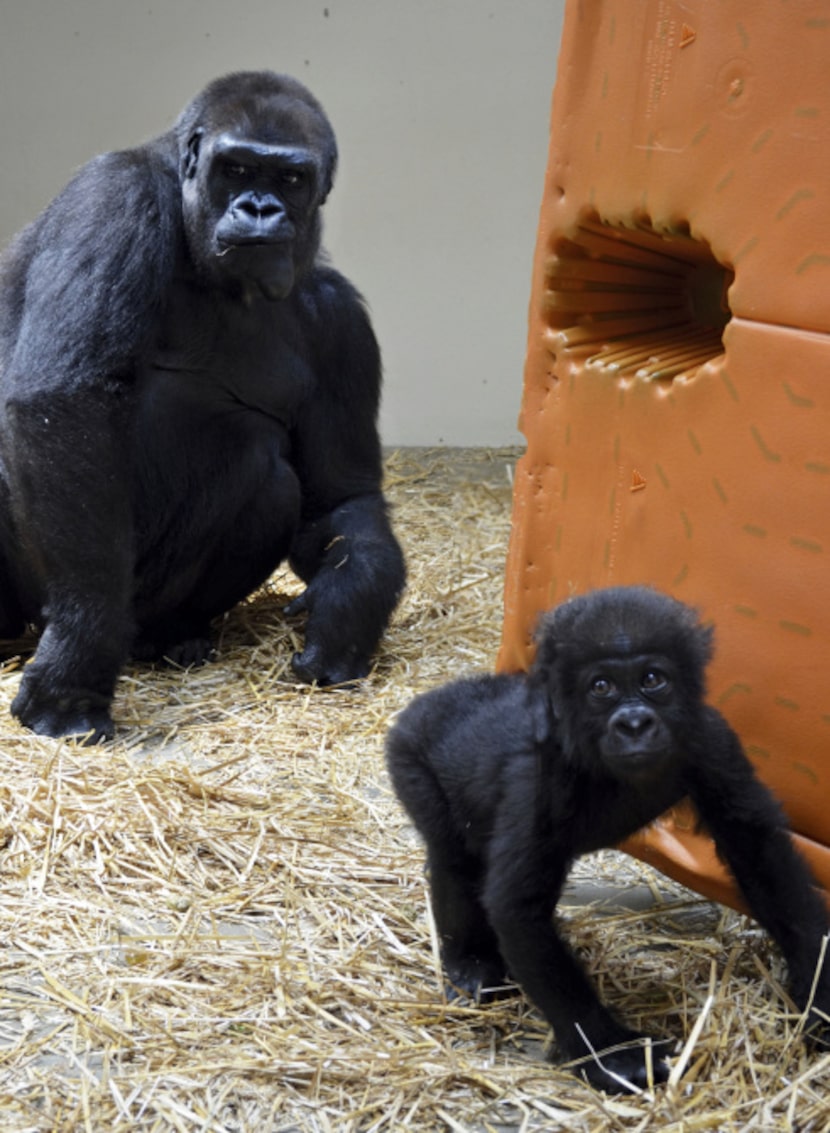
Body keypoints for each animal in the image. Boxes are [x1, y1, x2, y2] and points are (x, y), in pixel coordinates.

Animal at [0, 73, 405, 743]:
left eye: (290, 179)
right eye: (235, 168)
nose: (260, 209)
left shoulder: (339, 321)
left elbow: (340, 498)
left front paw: (351, 605)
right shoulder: (115, 196)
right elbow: (62, 399)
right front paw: (80, 653)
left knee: (270, 483)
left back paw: (174, 635)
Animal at [387, 589, 828, 1092]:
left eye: (653, 679)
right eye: (601, 687)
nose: (634, 723)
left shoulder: (711, 737)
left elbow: (758, 852)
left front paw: (821, 991)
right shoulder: (542, 777)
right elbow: (519, 909)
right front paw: (613, 1054)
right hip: (408, 755)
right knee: (454, 858)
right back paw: (470, 961)